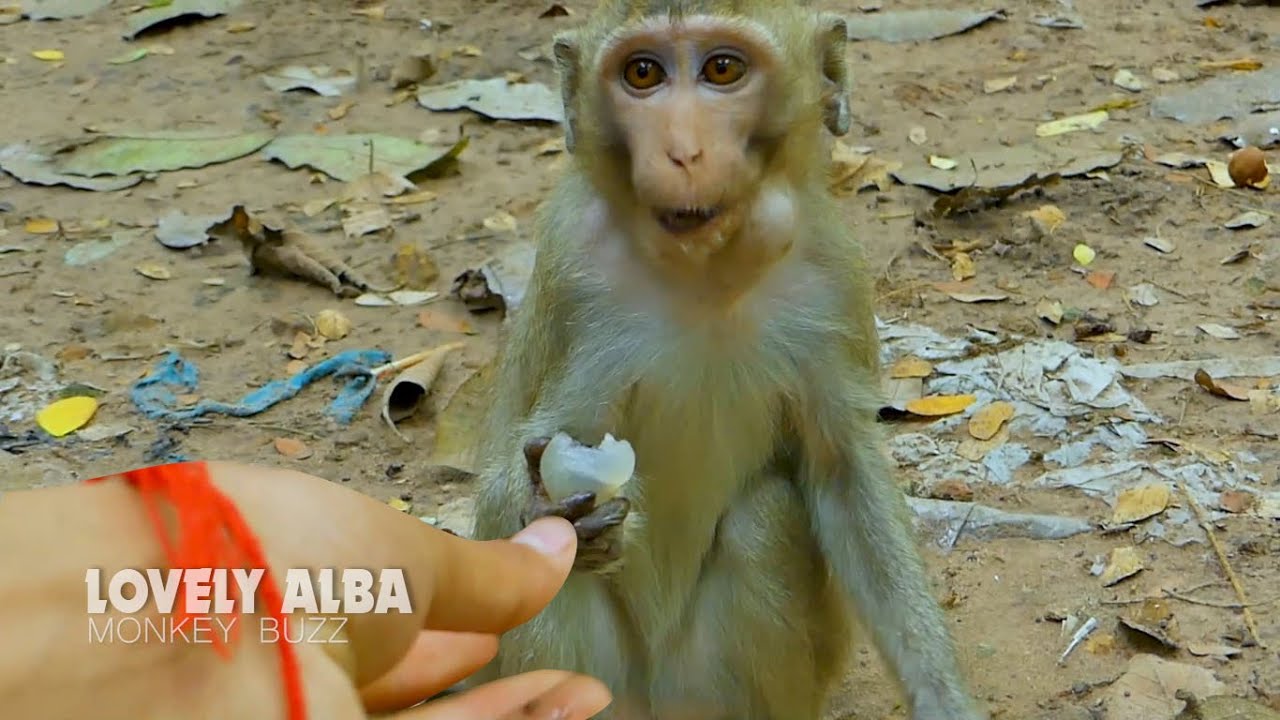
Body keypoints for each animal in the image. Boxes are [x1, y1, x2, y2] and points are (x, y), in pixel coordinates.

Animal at [467, 1, 987, 718]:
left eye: (722, 69)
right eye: (642, 73)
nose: (683, 150)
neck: (707, 270)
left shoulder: (833, 276)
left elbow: (842, 475)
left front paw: (943, 695)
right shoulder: (575, 271)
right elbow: (525, 475)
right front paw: (554, 509)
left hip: (709, 687)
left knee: (764, 519)